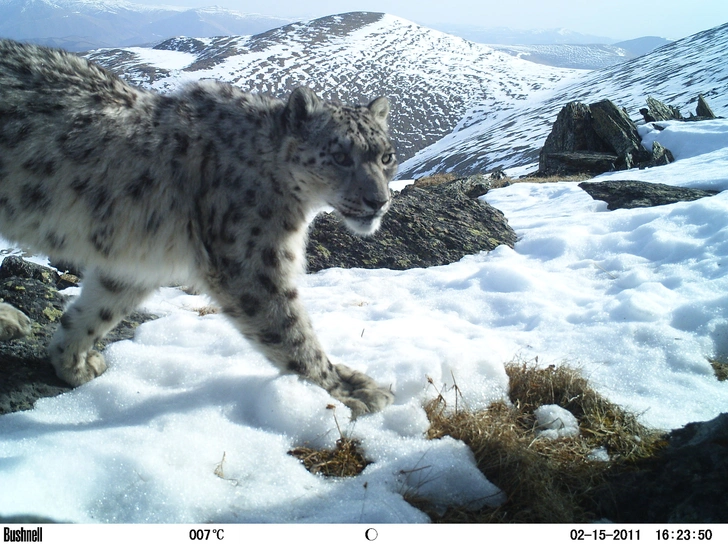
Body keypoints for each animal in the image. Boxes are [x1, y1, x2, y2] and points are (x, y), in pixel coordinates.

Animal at [0, 39, 398, 412]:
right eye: (339, 156)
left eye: (386, 156)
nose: (378, 201)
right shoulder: (251, 262)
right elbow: (291, 330)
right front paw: (348, 390)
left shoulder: (136, 259)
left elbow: (98, 309)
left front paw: (73, 361)